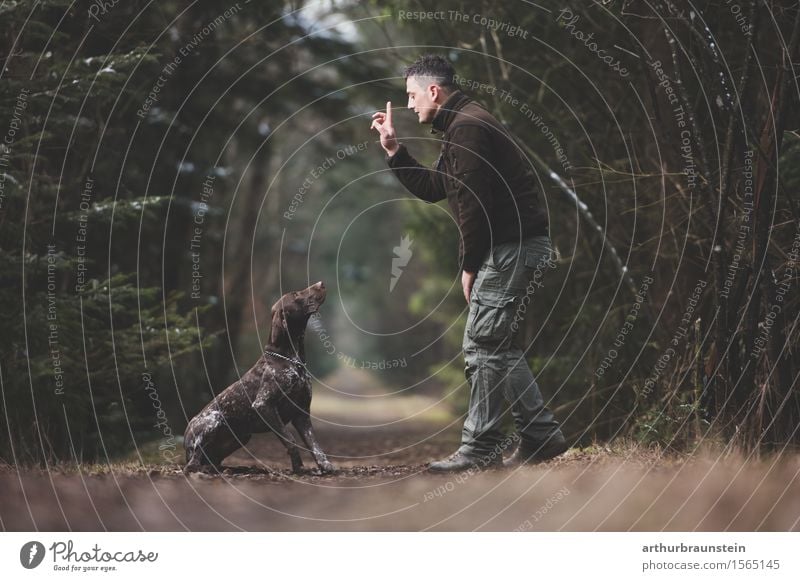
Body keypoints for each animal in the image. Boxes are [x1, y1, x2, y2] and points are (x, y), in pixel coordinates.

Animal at [183, 284, 332, 474]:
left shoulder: (302, 413)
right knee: (192, 464)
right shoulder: (264, 405)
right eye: (296, 294)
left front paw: (324, 466)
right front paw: (298, 467)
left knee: (211, 461)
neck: (290, 359)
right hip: (214, 421)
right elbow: (291, 440)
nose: (321, 284)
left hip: (242, 437)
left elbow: (314, 445)